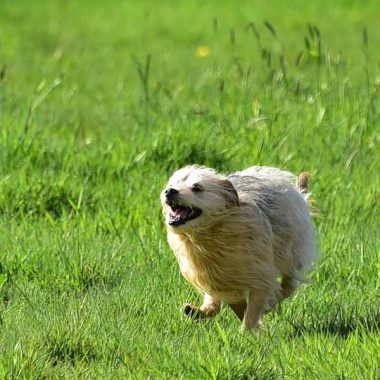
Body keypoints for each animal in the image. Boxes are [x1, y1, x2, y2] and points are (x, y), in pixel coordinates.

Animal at [160, 166, 318, 330]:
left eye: (197, 188)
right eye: (171, 184)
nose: (169, 191)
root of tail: (298, 193)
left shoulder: (260, 275)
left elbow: (253, 307)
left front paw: (246, 331)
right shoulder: (213, 276)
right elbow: (215, 303)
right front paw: (200, 310)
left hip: (291, 253)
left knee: (289, 284)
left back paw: (272, 300)